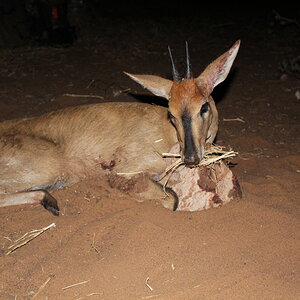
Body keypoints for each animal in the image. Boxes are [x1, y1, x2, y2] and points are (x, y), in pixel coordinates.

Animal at [0, 39, 240, 214]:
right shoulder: (125, 171)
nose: (190, 158)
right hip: (47, 168)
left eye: (203, 106)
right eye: (170, 113)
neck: (167, 134)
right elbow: (172, 198)